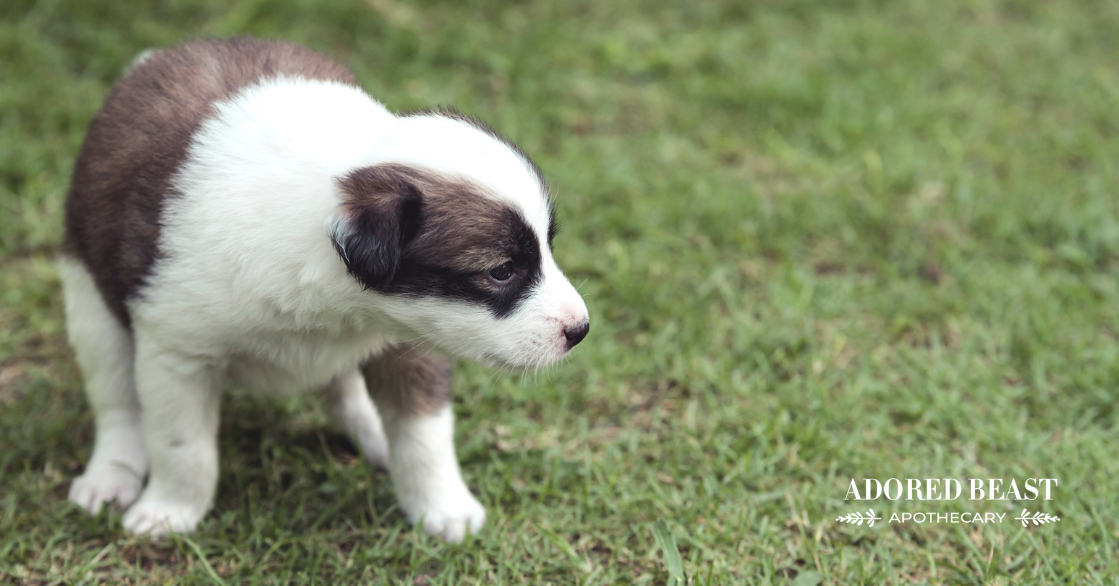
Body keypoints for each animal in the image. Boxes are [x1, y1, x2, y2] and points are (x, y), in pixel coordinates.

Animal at [60, 37, 590, 545]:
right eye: (501, 271)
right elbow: (182, 446)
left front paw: (444, 508)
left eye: (547, 248)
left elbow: (424, 434)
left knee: (344, 388)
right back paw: (110, 475)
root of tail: (152, 60)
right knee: (117, 403)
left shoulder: (412, 339)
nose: (581, 330)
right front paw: (170, 511)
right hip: (91, 306)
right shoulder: (177, 354)